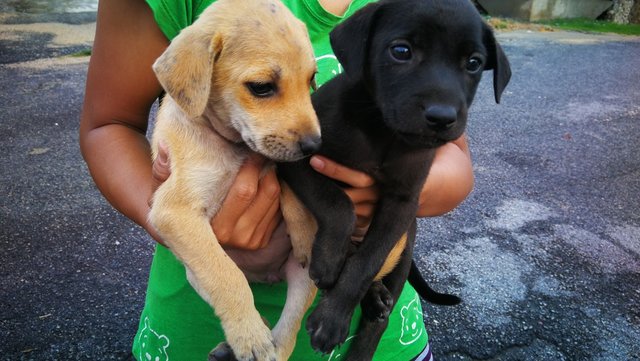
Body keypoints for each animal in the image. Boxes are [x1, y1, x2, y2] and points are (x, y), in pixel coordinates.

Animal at [149, 0, 320, 360]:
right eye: (261, 87)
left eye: (311, 79)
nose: (315, 147)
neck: (232, 146)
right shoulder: (175, 212)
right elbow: (227, 277)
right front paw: (250, 338)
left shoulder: (273, 159)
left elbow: (287, 183)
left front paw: (303, 231)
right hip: (192, 269)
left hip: (306, 278)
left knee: (288, 332)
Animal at [278, 0, 510, 356]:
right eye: (401, 51)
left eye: (474, 63)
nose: (442, 117)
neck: (382, 131)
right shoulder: (297, 160)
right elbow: (338, 203)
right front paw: (330, 260)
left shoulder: (403, 203)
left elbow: (367, 260)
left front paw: (331, 319)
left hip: (405, 247)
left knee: (379, 317)